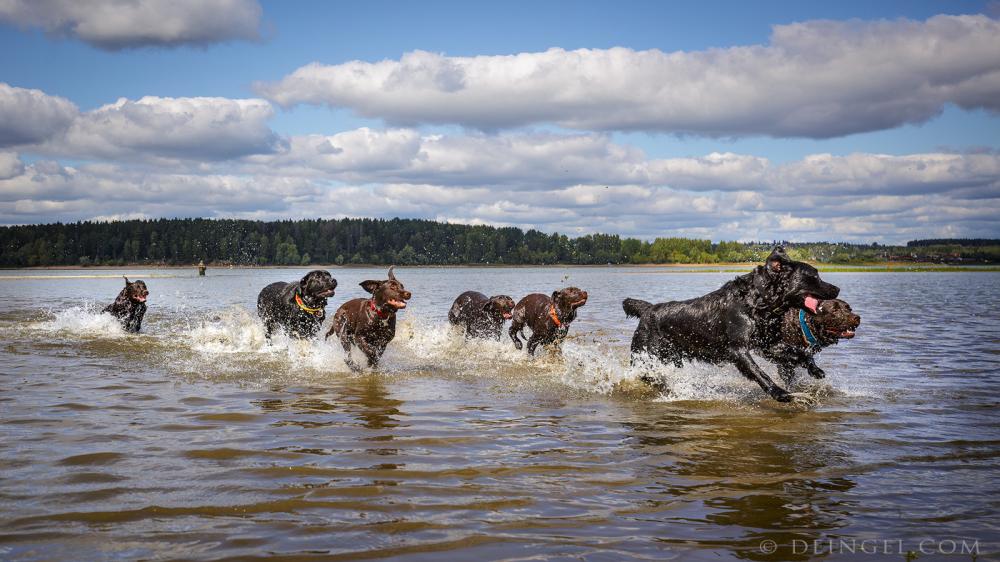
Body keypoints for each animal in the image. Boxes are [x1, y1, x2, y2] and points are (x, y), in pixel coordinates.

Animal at [620, 247, 840, 400]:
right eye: (815, 276)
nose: (837, 289)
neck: (757, 302)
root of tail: (648, 310)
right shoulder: (738, 349)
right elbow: (759, 373)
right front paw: (780, 393)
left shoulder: (767, 345)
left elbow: (799, 352)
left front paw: (814, 369)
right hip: (644, 357)